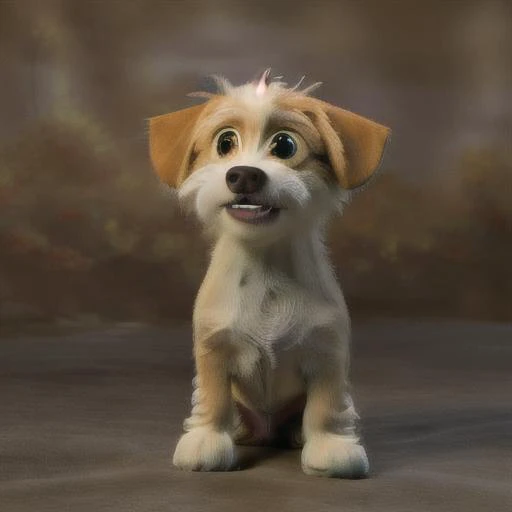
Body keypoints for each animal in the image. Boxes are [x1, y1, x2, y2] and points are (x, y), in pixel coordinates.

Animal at [150, 70, 390, 478]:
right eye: (225, 142)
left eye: (285, 145)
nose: (244, 175)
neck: (264, 265)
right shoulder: (214, 349)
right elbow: (213, 398)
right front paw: (206, 441)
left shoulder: (327, 353)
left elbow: (326, 407)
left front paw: (331, 448)